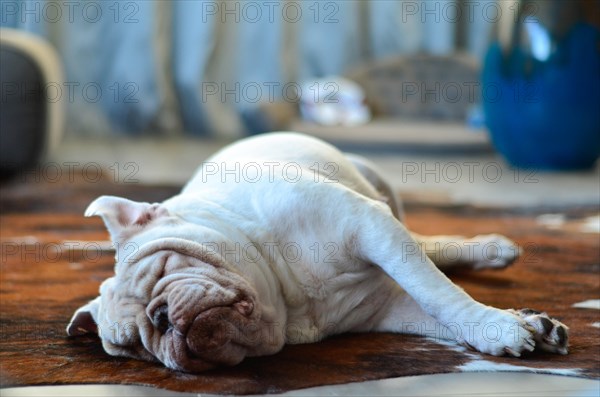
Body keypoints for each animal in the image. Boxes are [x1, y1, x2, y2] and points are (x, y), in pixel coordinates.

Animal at [65, 133, 568, 372]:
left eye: (166, 266)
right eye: (134, 349)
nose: (160, 318)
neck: (285, 299)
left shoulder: (369, 225)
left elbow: (438, 294)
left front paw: (495, 326)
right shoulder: (388, 308)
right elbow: (434, 311)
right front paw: (508, 326)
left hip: (380, 193)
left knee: (425, 247)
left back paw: (493, 250)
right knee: (430, 253)